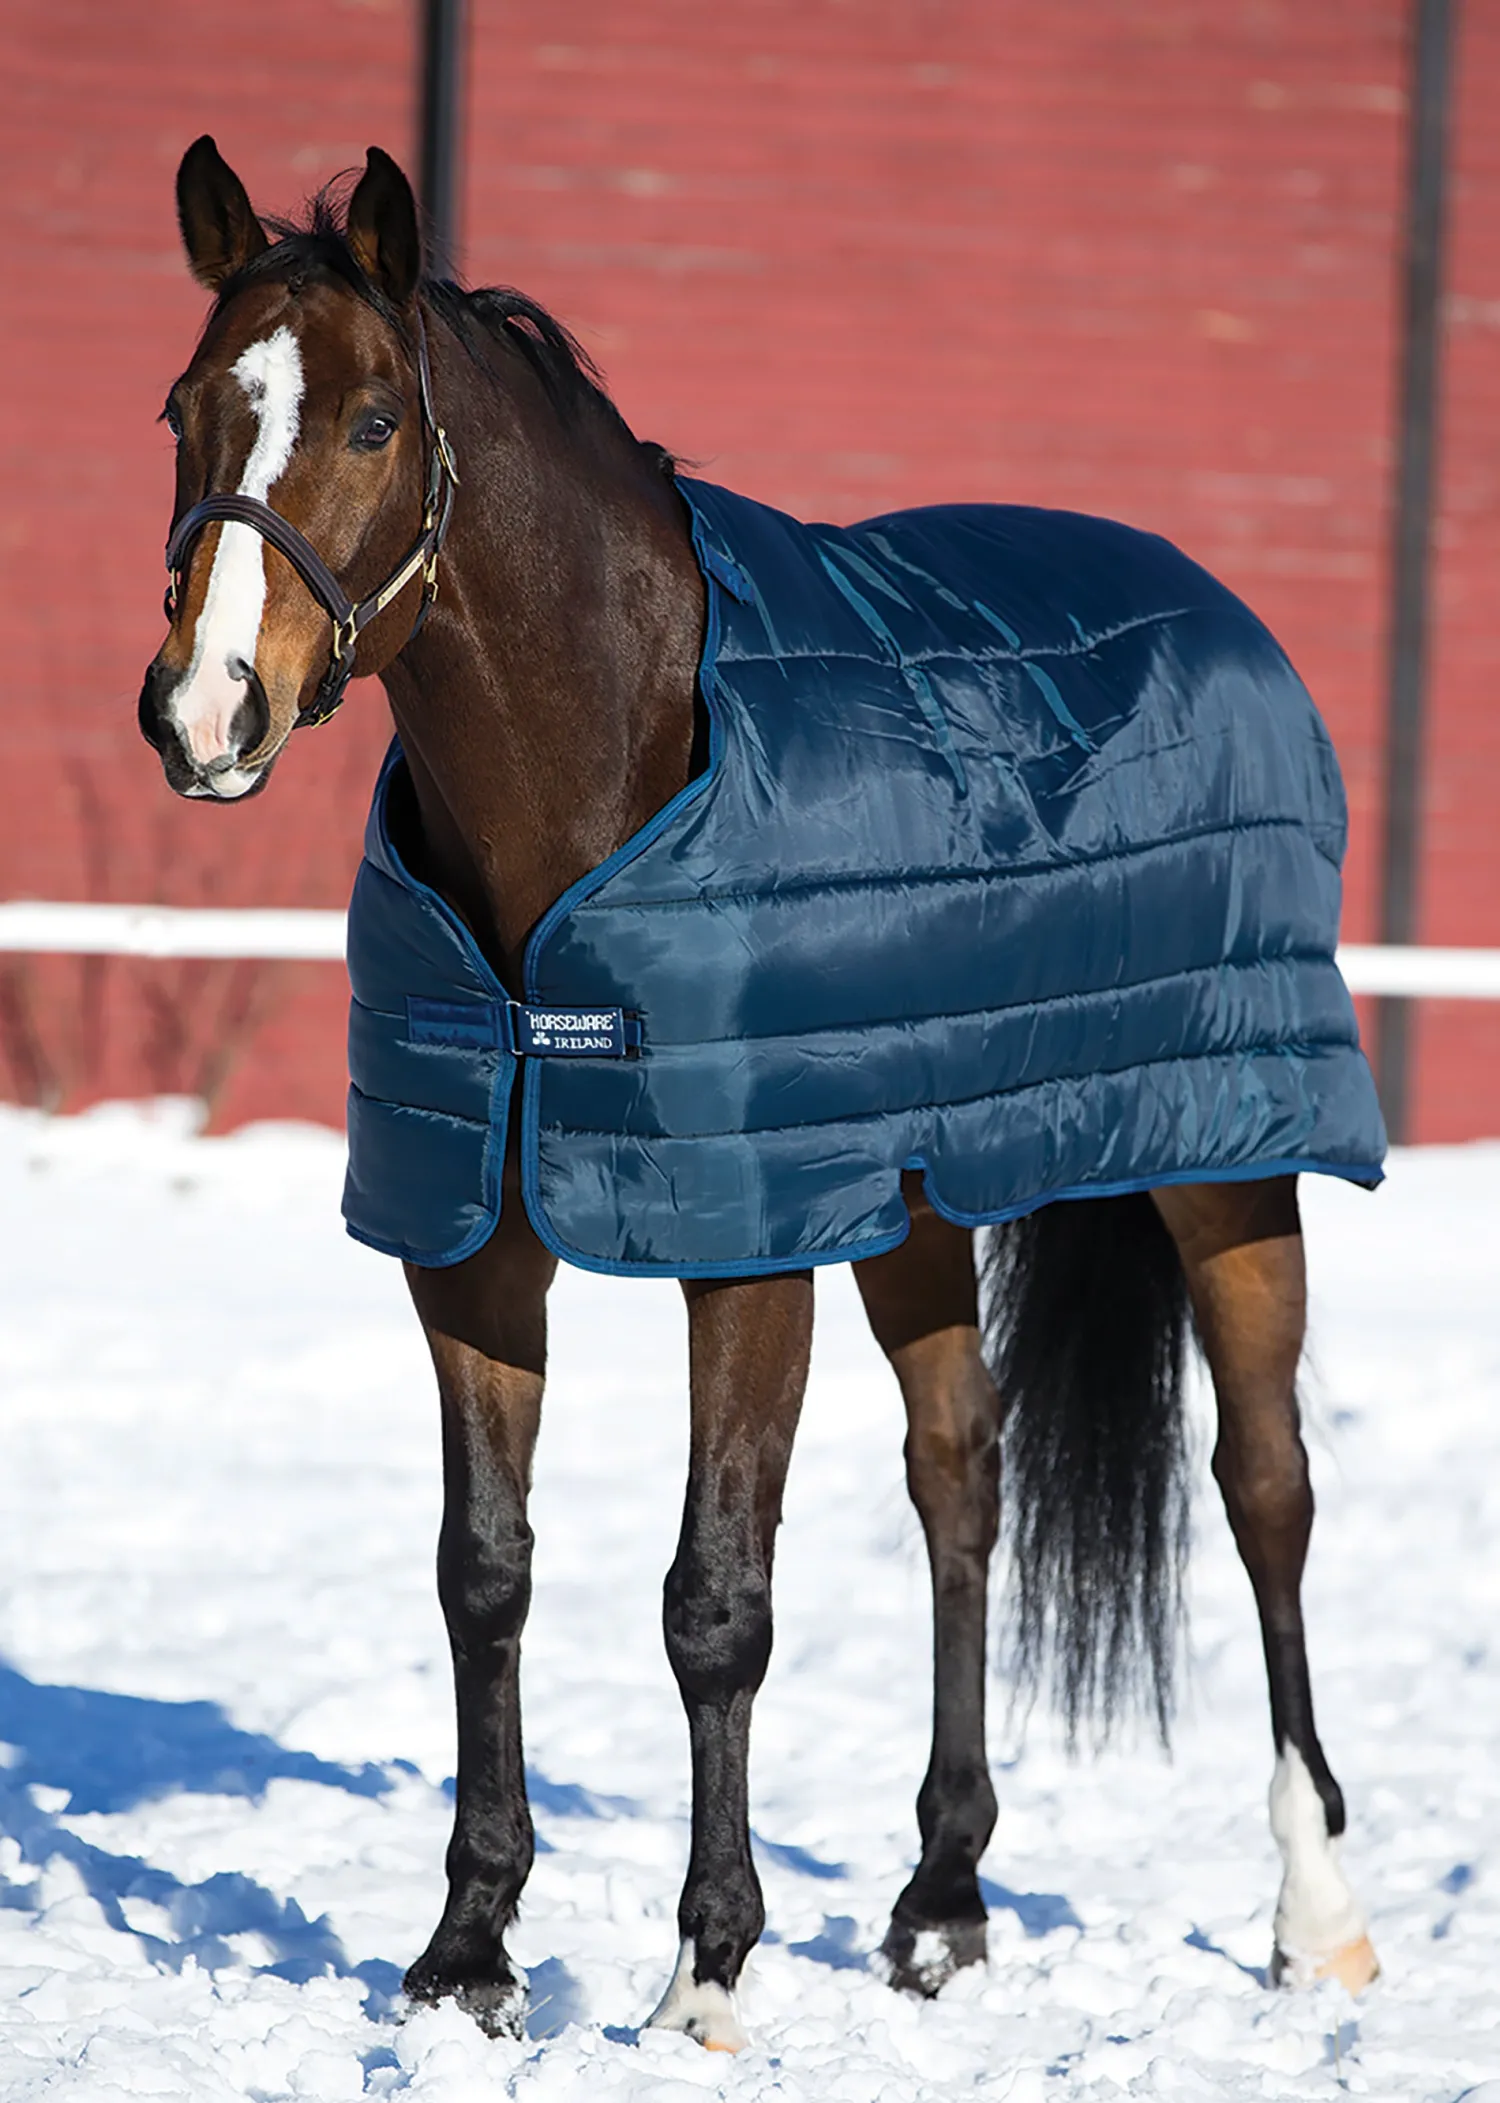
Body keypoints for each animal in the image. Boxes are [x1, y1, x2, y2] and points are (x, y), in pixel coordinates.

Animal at [137, 136, 1382, 2048]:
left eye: (367, 421)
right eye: (187, 407)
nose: (204, 714)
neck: (614, 760)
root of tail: (1212, 598)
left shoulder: (746, 1247)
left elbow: (715, 1597)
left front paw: (703, 1974)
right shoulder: (477, 1241)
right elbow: (482, 1570)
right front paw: (466, 1955)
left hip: (1231, 1155)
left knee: (1265, 1487)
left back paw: (1313, 1912)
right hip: (917, 1192)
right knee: (964, 1476)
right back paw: (942, 1899)